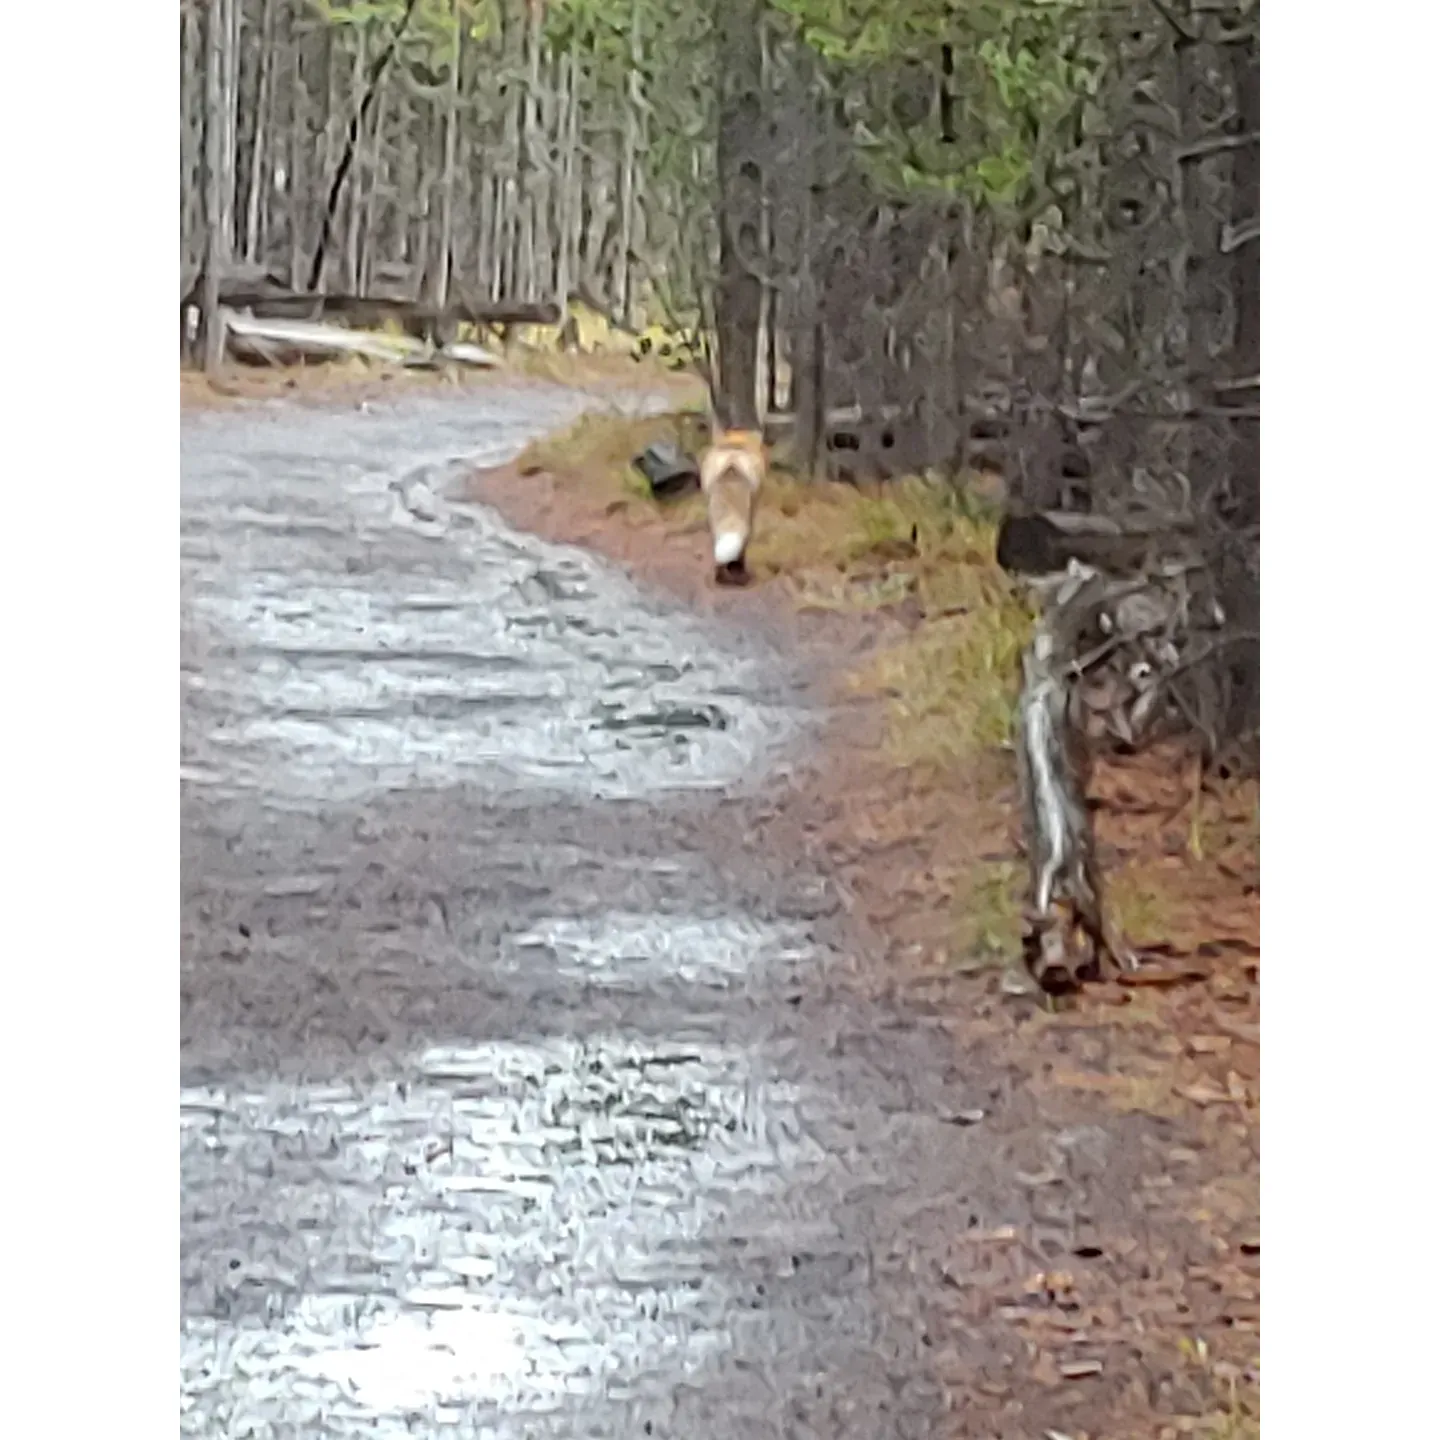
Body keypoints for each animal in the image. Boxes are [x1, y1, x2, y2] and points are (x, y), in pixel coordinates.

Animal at [696, 426, 766, 584]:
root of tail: (731, 465)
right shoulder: (754, 509)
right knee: (741, 548)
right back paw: (738, 575)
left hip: (713, 519)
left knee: (717, 551)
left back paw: (721, 577)